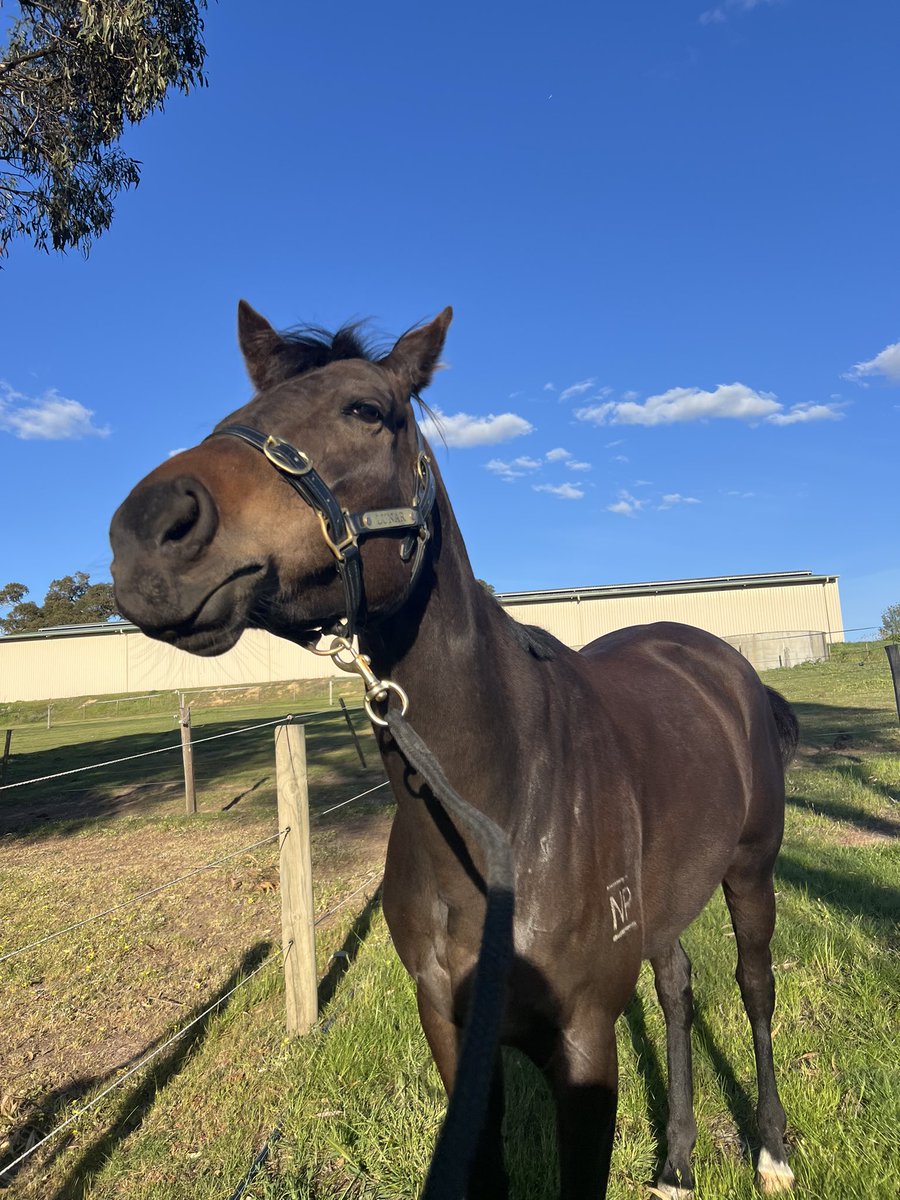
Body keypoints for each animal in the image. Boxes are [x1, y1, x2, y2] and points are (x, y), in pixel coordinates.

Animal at [109, 302, 798, 1198]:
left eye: (367, 410)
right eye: (240, 410)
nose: (147, 533)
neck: (506, 805)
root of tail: (717, 658)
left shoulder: (586, 1042)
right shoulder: (451, 1034)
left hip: (751, 872)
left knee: (754, 987)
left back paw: (773, 1151)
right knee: (677, 986)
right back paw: (677, 1162)